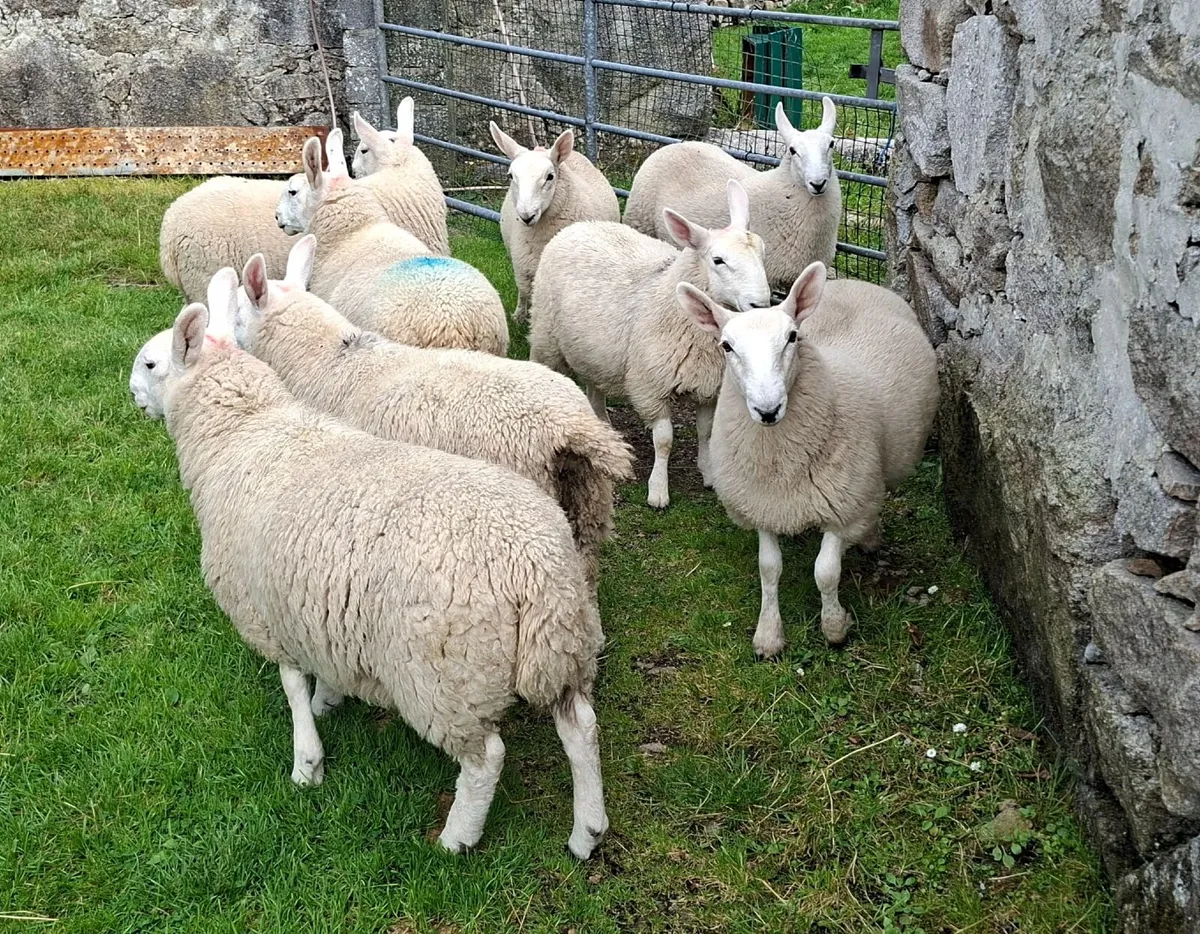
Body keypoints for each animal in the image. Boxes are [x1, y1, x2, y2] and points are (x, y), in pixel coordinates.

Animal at [147, 299, 609, 859]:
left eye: (150, 364)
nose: (133, 397)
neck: (245, 431)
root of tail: (536, 566)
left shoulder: (265, 609)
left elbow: (291, 686)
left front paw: (307, 761)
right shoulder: (314, 604)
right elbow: (322, 668)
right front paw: (329, 700)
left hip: (445, 675)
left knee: (486, 758)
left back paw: (457, 837)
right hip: (563, 639)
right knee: (580, 726)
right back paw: (587, 831)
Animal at [488, 123, 621, 323]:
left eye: (550, 177)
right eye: (511, 176)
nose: (526, 216)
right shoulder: (523, 267)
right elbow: (524, 293)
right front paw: (520, 316)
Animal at [528, 180, 771, 509]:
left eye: (762, 254)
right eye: (718, 260)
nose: (760, 304)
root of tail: (582, 225)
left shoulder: (709, 386)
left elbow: (705, 431)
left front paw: (708, 473)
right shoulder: (650, 386)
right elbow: (664, 439)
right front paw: (658, 490)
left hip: (595, 349)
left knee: (594, 385)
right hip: (546, 337)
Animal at [674, 262, 938, 656]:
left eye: (792, 337)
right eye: (726, 346)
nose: (768, 410)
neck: (783, 466)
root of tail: (858, 282)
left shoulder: (844, 506)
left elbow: (825, 572)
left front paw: (835, 627)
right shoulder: (761, 503)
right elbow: (769, 568)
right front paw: (768, 635)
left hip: (867, 480)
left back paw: (871, 538)